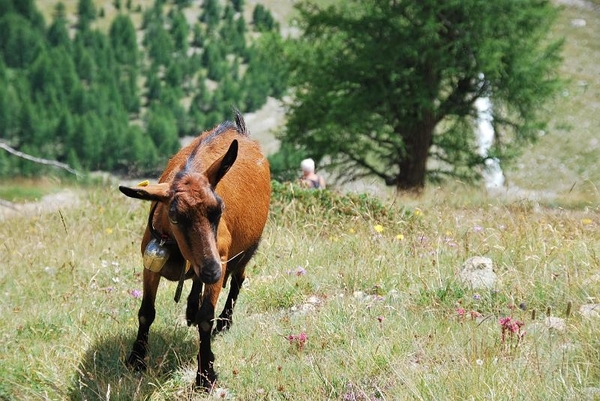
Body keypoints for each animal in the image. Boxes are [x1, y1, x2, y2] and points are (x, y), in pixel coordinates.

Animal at [119, 109, 270, 388]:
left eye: (219, 209)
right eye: (174, 215)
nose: (212, 271)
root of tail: (238, 129)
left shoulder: (221, 256)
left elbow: (205, 319)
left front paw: (205, 374)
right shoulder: (150, 263)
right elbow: (146, 312)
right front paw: (136, 358)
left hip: (246, 249)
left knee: (238, 279)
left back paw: (224, 322)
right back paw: (191, 306)